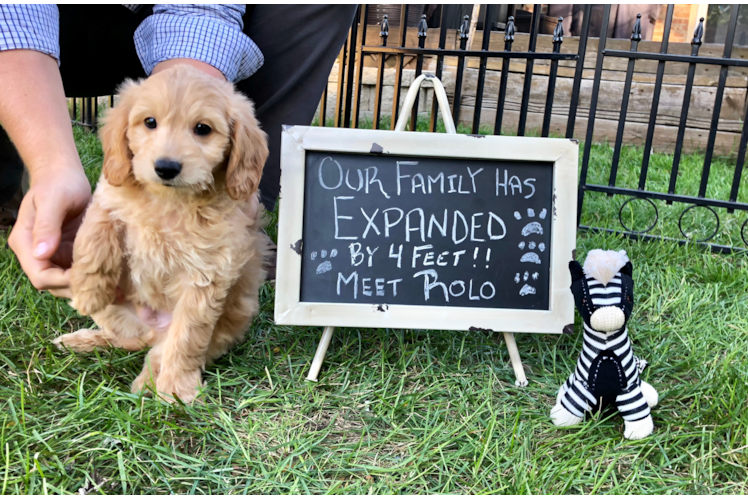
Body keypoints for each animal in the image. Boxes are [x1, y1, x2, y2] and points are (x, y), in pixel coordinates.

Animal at [56, 65, 272, 402]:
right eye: (150, 122)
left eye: (202, 129)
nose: (166, 167)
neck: (168, 201)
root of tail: (152, 328)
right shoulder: (109, 194)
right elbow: (97, 229)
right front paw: (88, 290)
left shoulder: (207, 273)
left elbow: (185, 339)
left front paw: (175, 390)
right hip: (117, 316)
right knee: (129, 340)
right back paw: (86, 340)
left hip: (220, 330)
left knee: (158, 351)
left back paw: (147, 384)